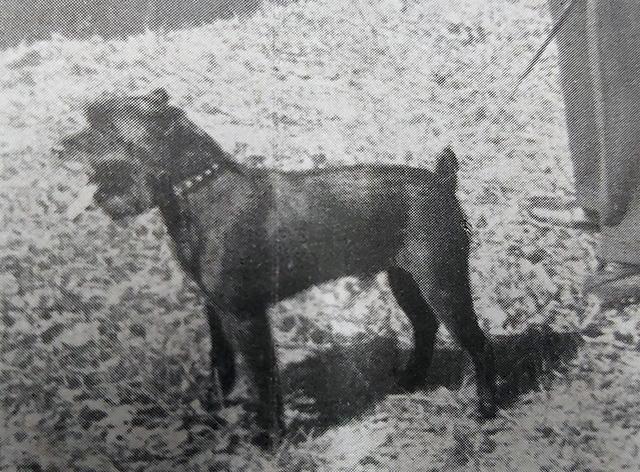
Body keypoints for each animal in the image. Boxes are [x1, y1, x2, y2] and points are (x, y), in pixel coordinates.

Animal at [55, 88, 497, 448]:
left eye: (104, 128)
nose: (61, 145)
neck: (197, 190)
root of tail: (442, 181)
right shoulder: (216, 308)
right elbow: (221, 362)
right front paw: (213, 411)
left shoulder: (245, 315)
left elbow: (262, 375)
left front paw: (268, 438)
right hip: (405, 281)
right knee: (425, 325)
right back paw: (410, 380)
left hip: (442, 283)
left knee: (478, 342)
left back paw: (486, 409)